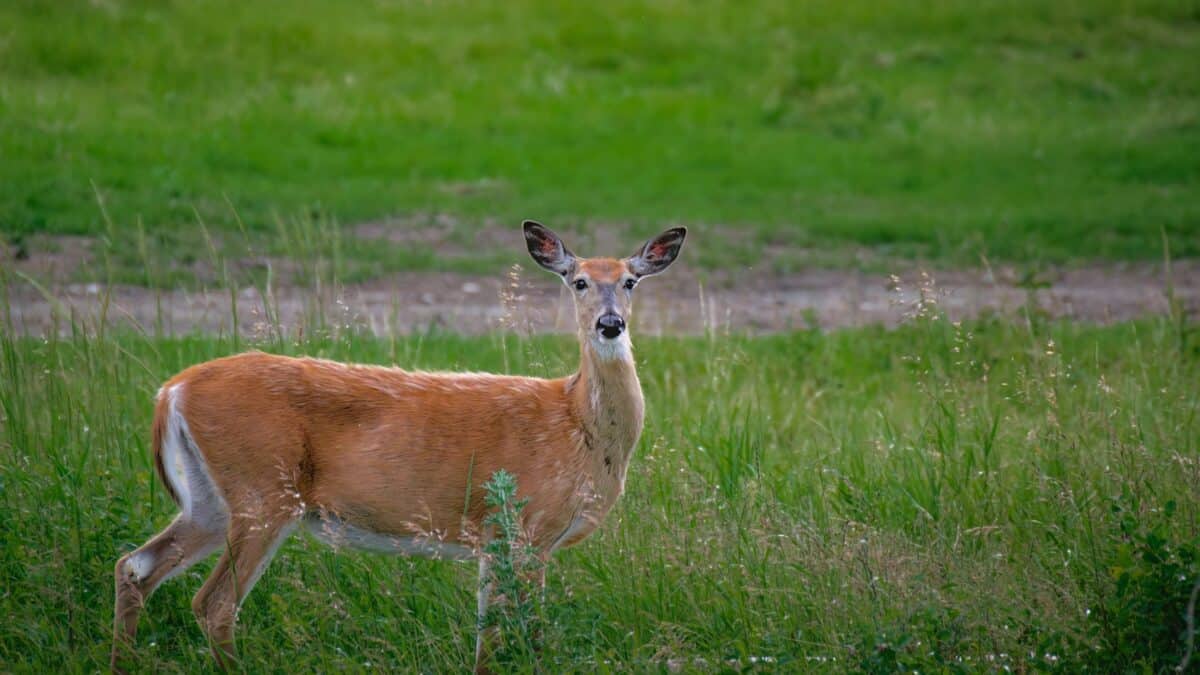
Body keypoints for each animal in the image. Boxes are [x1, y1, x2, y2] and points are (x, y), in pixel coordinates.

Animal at [110, 220, 686, 673]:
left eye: (630, 281)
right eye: (579, 281)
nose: (610, 324)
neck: (575, 425)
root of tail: (171, 391)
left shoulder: (498, 538)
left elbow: (489, 636)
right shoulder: (525, 526)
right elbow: (524, 634)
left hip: (210, 500)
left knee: (134, 566)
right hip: (262, 489)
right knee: (214, 604)